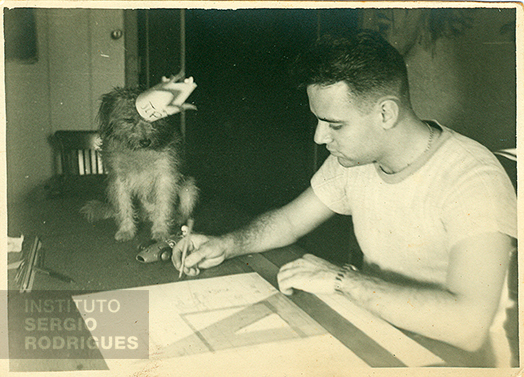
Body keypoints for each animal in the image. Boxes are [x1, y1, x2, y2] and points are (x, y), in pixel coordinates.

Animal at [81, 87, 198, 241]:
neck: (139, 153)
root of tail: (148, 214)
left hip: (190, 187)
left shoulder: (166, 176)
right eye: (129, 120)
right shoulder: (118, 180)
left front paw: (161, 231)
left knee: (184, 209)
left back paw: (178, 219)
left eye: (154, 118)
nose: (145, 141)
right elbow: (124, 206)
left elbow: (164, 205)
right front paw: (126, 230)